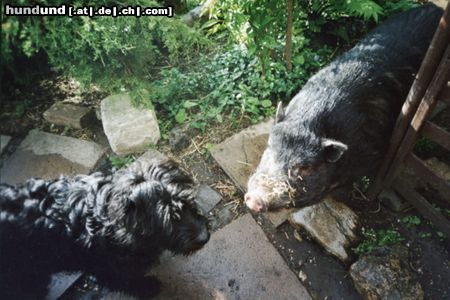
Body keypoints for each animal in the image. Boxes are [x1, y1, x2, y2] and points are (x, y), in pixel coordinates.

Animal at [0, 159, 211, 298]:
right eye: (170, 219)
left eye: (188, 202)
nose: (204, 237)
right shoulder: (105, 267)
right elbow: (124, 280)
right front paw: (147, 287)